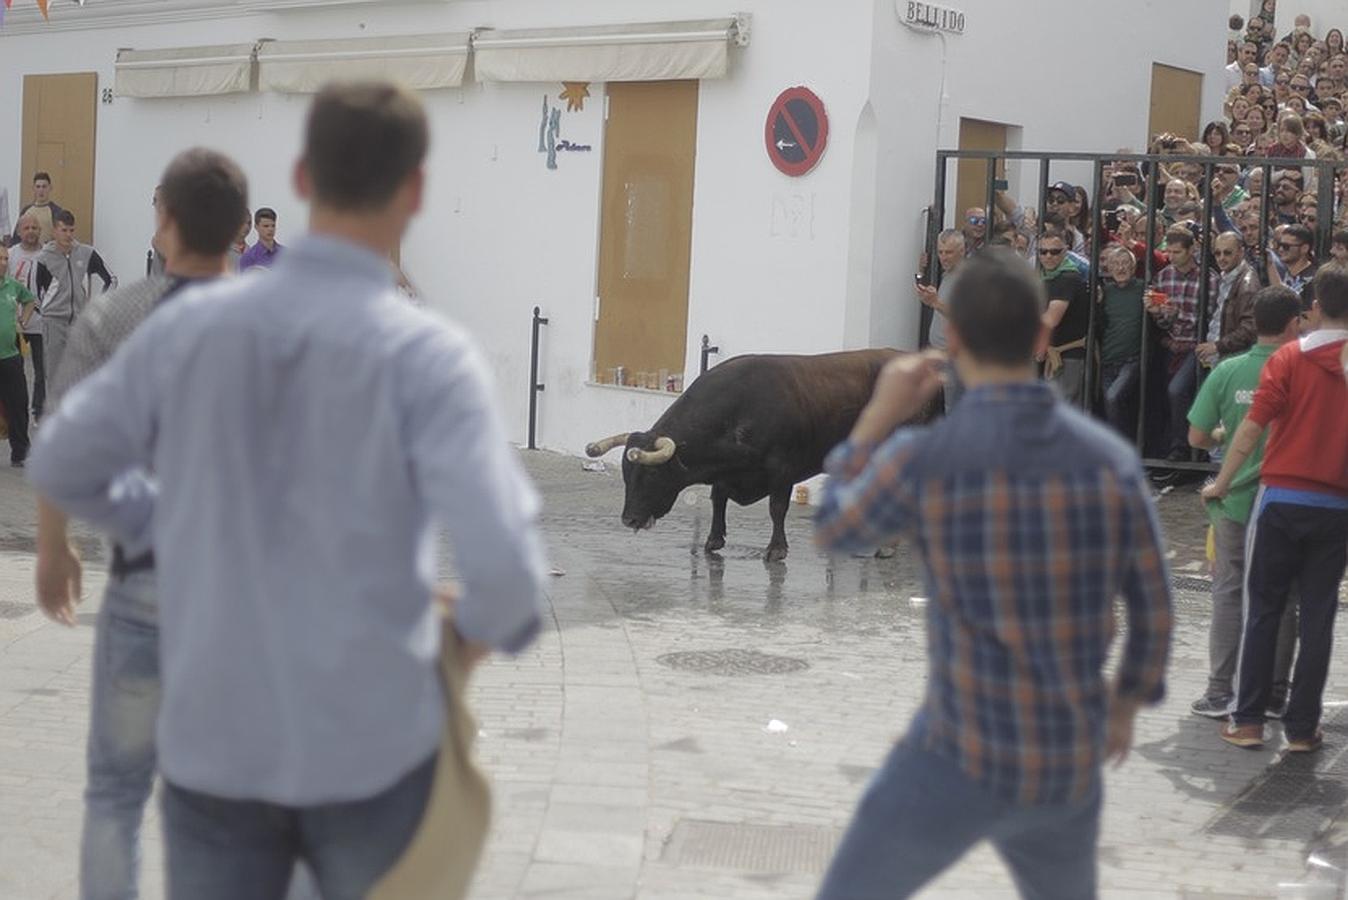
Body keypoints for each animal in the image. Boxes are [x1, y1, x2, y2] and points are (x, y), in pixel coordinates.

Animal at [585, 347, 932, 557]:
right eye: (627, 475)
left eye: (654, 474)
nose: (629, 519)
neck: (739, 412)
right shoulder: (725, 473)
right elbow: (718, 500)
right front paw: (714, 540)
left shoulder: (782, 469)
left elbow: (777, 508)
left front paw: (776, 548)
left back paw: (889, 545)